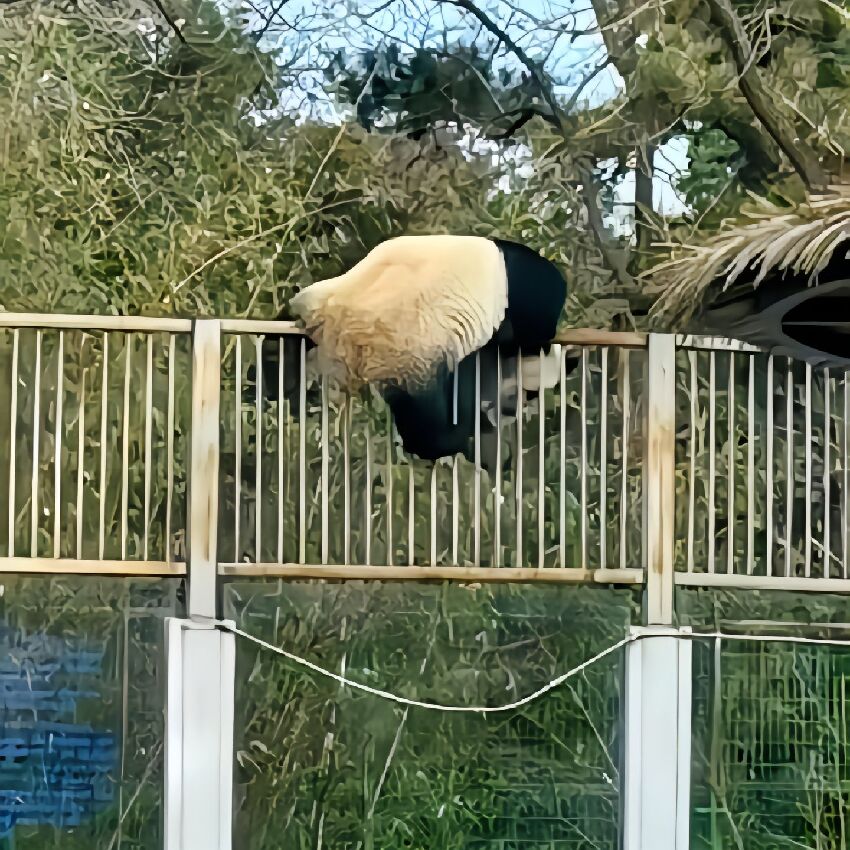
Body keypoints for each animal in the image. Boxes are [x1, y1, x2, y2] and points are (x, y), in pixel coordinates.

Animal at [255, 235, 568, 474]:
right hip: (407, 347)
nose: (512, 411)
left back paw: (274, 376)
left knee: (282, 346)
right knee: (424, 421)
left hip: (315, 304)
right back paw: (451, 439)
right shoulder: (524, 300)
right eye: (530, 394)